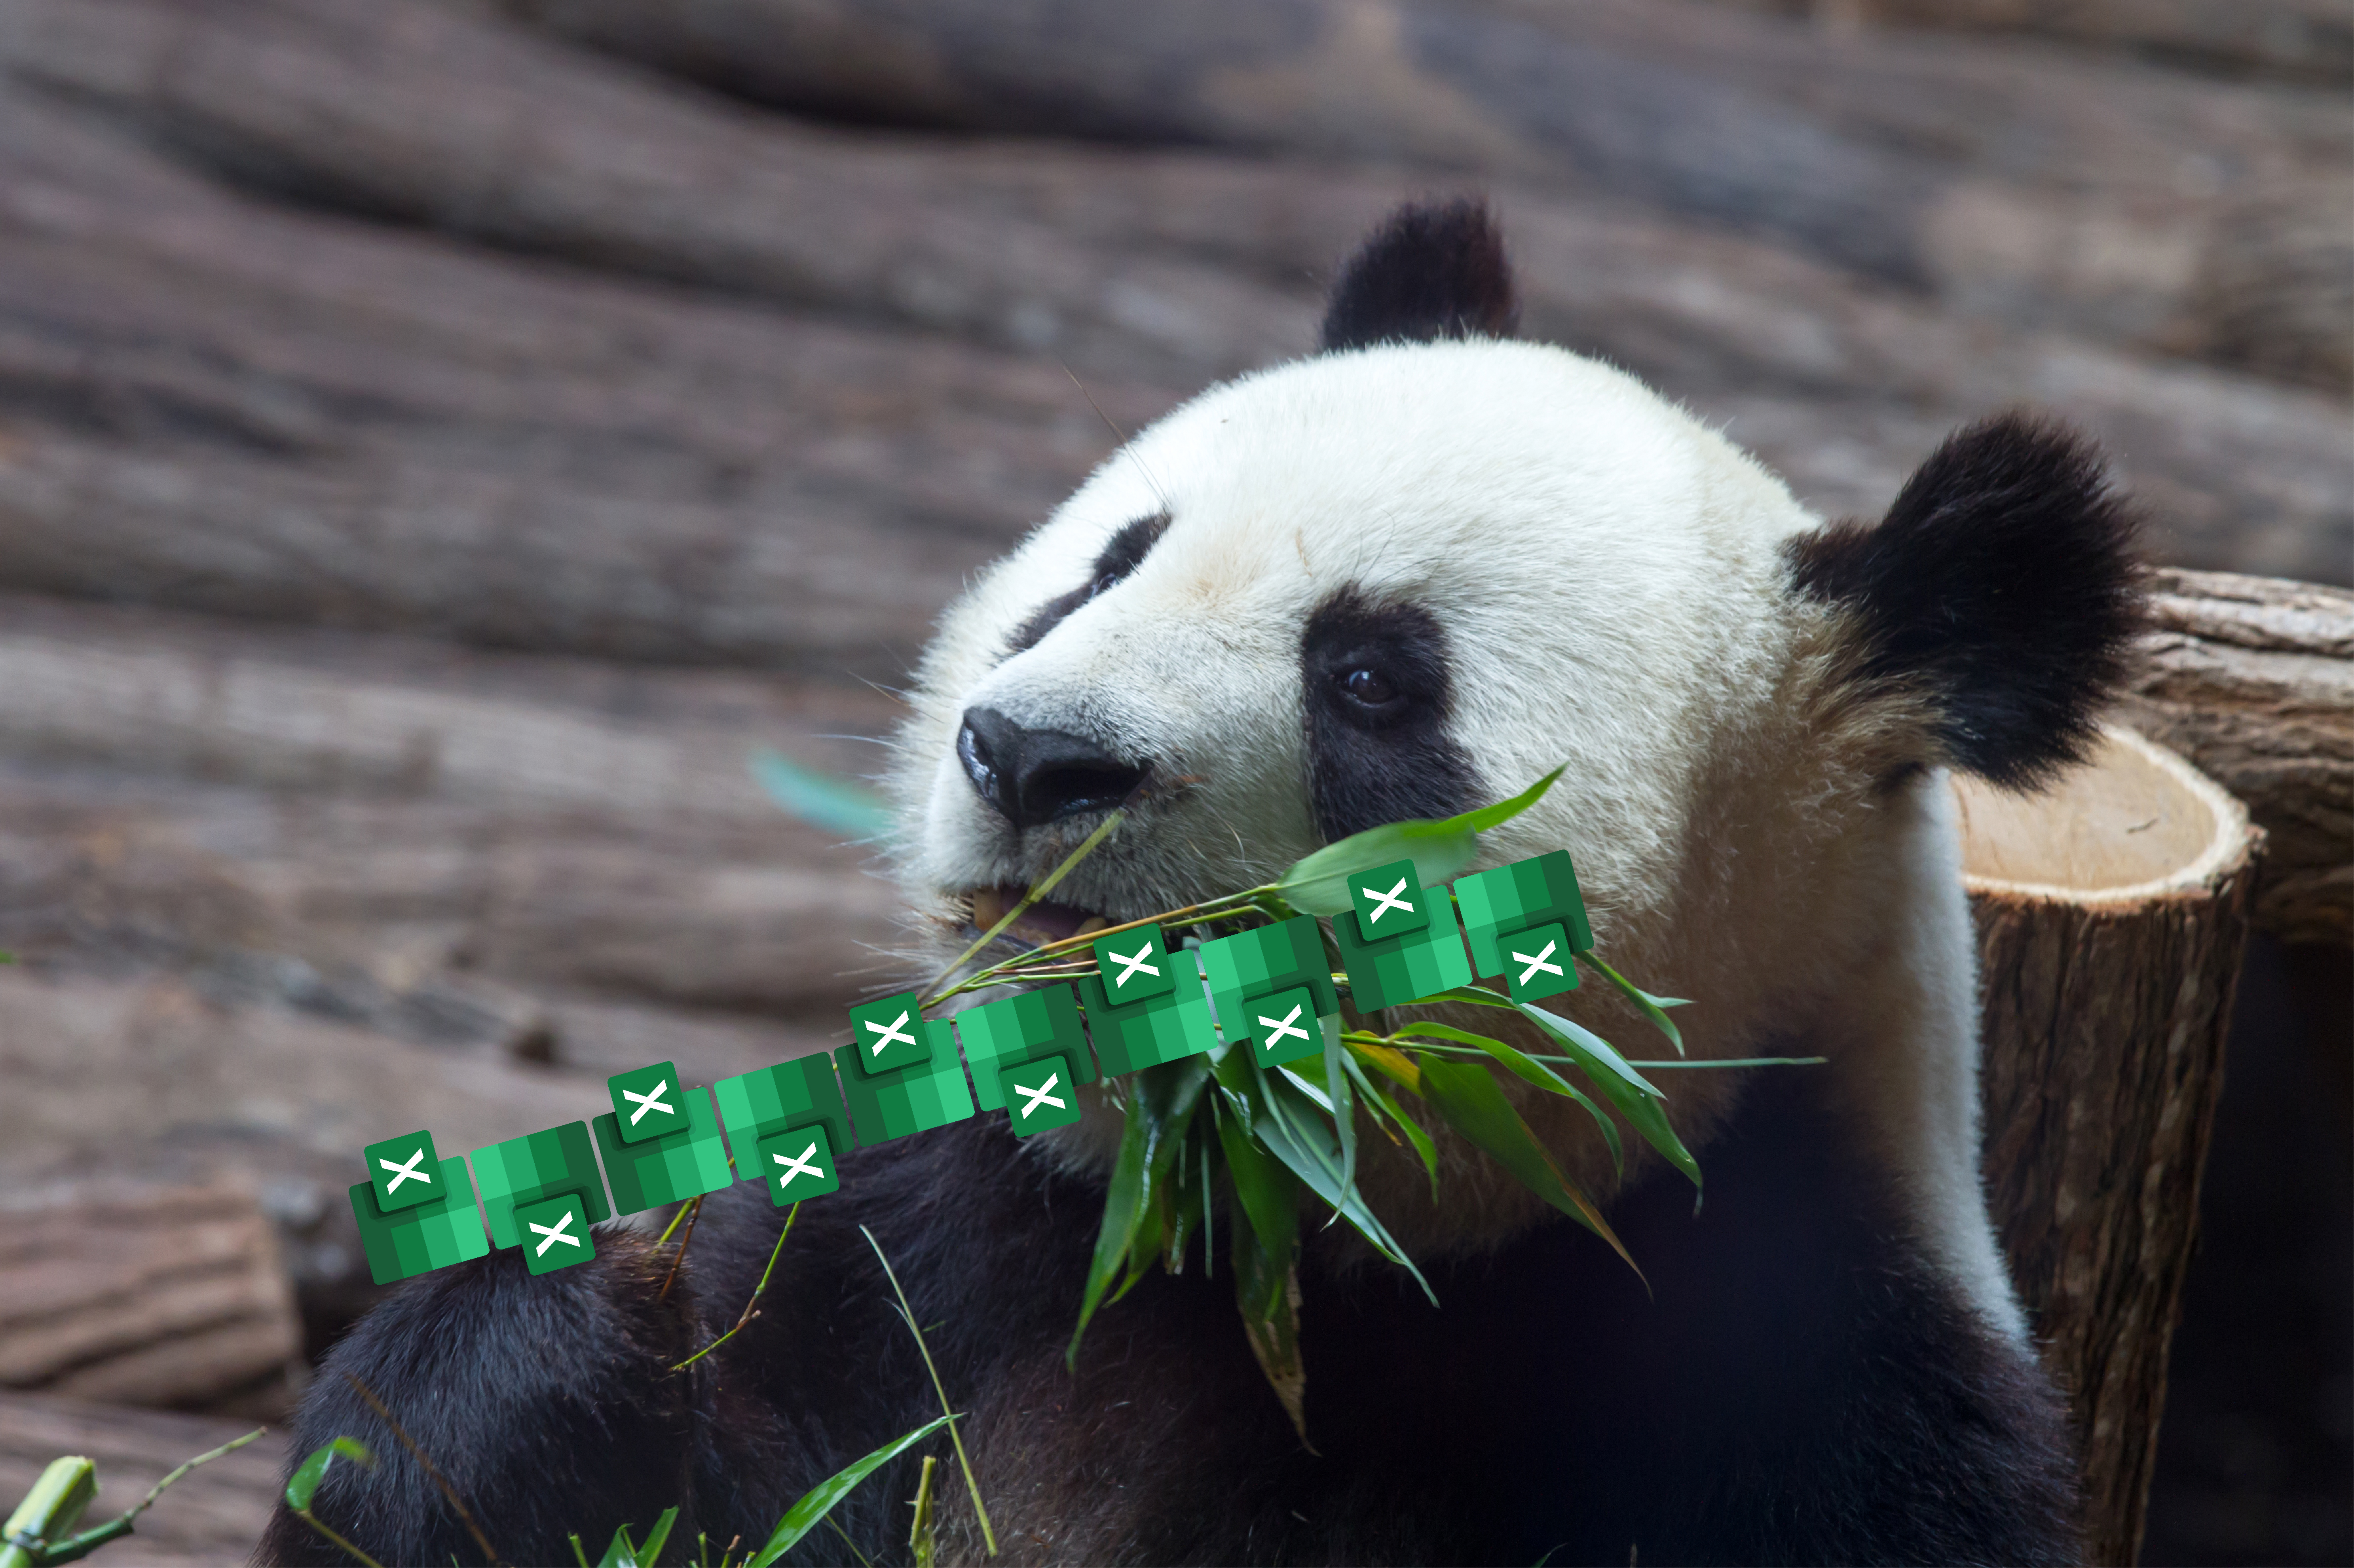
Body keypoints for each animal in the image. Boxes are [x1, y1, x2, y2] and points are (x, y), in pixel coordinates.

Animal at [260, 199, 2140, 1567]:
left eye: (1374, 679)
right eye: (1109, 561)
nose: (1032, 756)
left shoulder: (1787, 1398)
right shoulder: (938, 1237)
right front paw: (548, 1347)